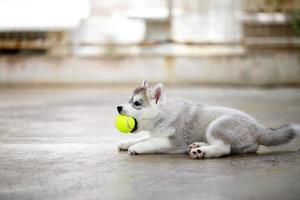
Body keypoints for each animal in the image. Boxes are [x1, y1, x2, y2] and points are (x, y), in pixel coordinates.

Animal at [117, 80, 300, 159]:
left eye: (137, 103)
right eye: (129, 100)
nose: (118, 107)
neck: (162, 114)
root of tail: (258, 127)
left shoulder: (173, 142)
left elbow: (151, 142)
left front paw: (136, 148)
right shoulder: (154, 133)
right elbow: (144, 137)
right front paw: (126, 143)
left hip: (217, 125)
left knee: (223, 148)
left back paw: (201, 152)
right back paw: (198, 145)